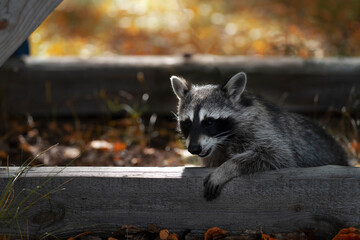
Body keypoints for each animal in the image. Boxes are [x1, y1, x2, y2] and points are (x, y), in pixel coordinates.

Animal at [171, 71, 348, 201]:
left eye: (209, 122)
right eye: (187, 123)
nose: (194, 149)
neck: (221, 141)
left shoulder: (260, 128)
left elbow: (276, 154)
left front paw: (227, 168)